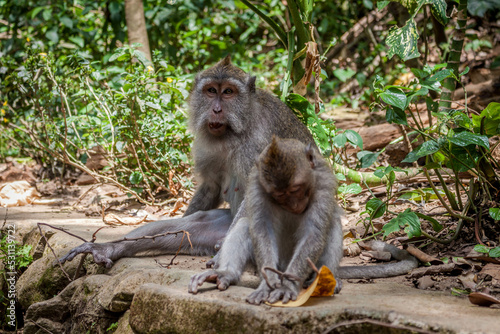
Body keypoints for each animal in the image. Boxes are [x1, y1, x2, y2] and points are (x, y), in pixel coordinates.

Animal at [188, 137, 418, 304]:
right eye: (279, 195)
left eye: (296, 189)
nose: (294, 205)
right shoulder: (257, 185)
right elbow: (262, 230)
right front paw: (267, 285)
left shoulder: (324, 183)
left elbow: (313, 235)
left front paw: (286, 287)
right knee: (245, 225)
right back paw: (225, 274)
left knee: (331, 226)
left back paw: (326, 281)